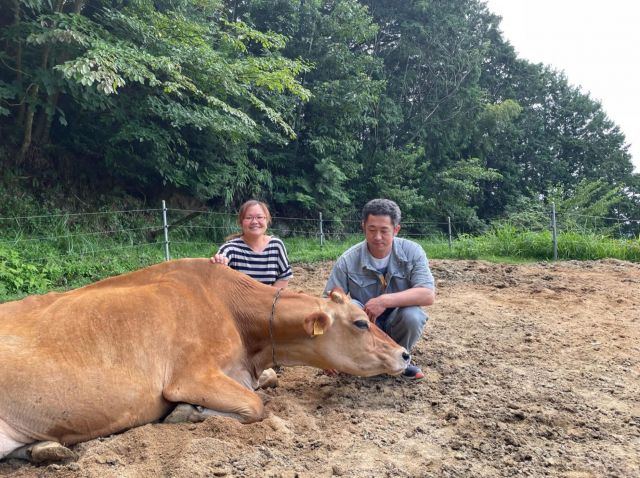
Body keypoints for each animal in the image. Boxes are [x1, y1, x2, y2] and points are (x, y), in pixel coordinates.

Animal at [0, 260, 410, 462]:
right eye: (360, 322)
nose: (405, 354)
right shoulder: (190, 376)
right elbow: (256, 404)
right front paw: (185, 412)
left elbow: (269, 382)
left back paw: (44, 449)